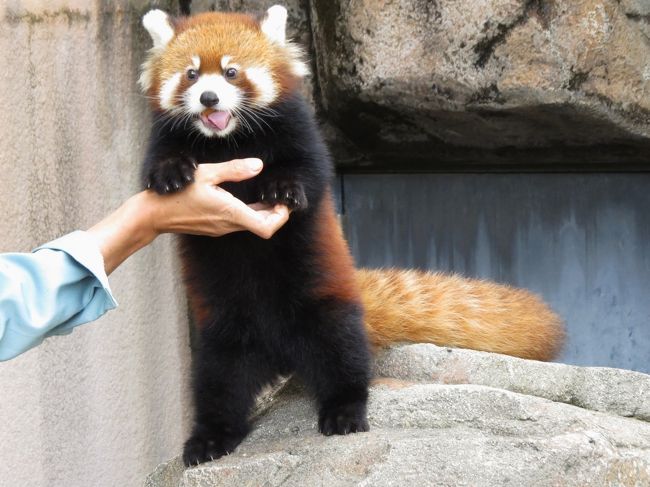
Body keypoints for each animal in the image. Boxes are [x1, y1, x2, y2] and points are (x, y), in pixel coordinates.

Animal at [138, 4, 560, 468]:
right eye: (191, 75)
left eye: (231, 72)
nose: (209, 98)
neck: (226, 140)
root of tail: (278, 353)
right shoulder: (165, 136)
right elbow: (159, 163)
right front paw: (171, 174)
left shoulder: (298, 131)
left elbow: (308, 169)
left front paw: (284, 188)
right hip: (221, 334)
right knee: (219, 385)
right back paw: (209, 440)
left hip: (324, 304)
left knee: (342, 356)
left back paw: (344, 411)